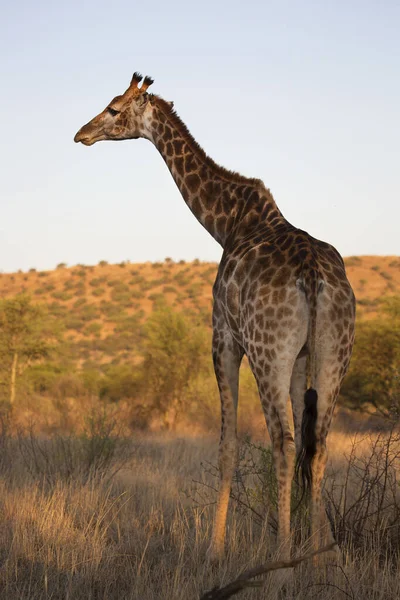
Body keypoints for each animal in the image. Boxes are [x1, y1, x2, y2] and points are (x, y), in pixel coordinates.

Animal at [75, 72, 356, 560]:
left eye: (113, 108)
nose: (81, 134)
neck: (227, 222)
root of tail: (313, 275)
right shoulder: (301, 358)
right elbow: (305, 445)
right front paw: (316, 548)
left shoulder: (222, 338)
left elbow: (227, 446)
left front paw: (215, 549)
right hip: (334, 354)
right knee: (317, 444)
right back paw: (321, 557)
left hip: (268, 353)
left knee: (283, 443)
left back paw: (280, 557)